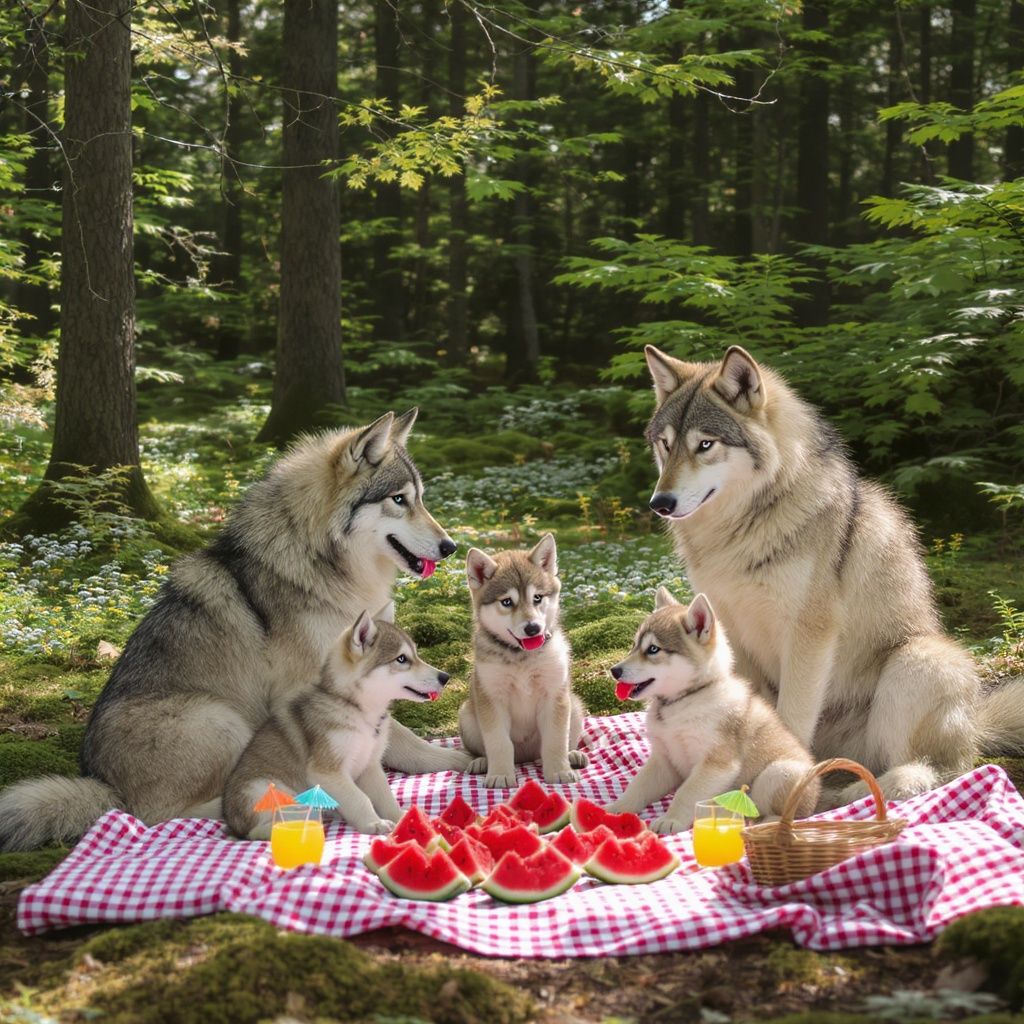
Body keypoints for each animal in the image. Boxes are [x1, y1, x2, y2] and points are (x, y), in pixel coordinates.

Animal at [224, 605, 449, 839]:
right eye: (402, 659)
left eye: (415, 654)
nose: (445, 677)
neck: (359, 712)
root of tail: (232, 823)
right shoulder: (327, 772)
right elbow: (360, 799)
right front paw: (374, 823)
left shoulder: (370, 766)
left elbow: (385, 796)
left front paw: (400, 818)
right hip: (270, 789)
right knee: (260, 830)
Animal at [458, 533, 589, 788]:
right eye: (507, 602)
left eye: (537, 598)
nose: (533, 628)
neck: (521, 656)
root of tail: (526, 758)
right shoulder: (492, 698)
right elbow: (499, 743)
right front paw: (500, 774)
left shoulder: (555, 694)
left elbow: (555, 740)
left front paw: (559, 771)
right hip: (467, 714)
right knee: (482, 749)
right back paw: (482, 762)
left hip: (575, 707)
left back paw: (572, 756)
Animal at [608, 588, 817, 832]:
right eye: (633, 645)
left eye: (653, 649)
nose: (614, 671)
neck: (683, 701)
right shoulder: (663, 760)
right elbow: (637, 787)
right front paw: (616, 808)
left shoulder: (716, 763)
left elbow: (685, 793)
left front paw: (671, 820)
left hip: (777, 774)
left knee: (788, 815)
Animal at [641, 344, 1024, 806]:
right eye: (665, 445)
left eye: (705, 444)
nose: (659, 502)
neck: (738, 533)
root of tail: (976, 727)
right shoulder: (726, 632)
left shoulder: (810, 632)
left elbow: (790, 717)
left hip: (918, 660)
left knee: (937, 770)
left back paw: (866, 790)